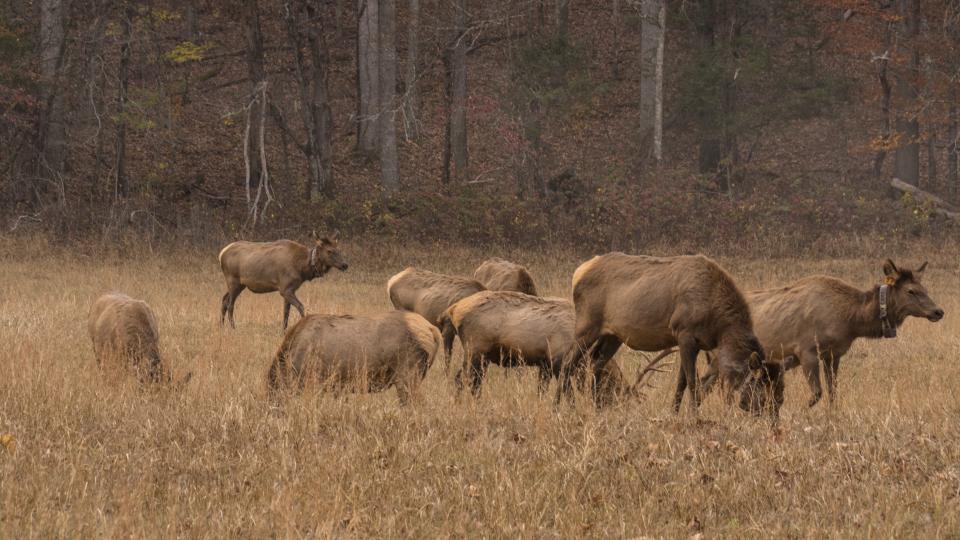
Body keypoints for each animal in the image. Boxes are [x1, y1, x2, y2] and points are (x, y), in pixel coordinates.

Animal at [218, 229, 348, 330]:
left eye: (339, 249)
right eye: (329, 251)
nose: (345, 265)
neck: (302, 268)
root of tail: (221, 254)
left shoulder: (289, 289)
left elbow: (286, 312)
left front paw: (283, 330)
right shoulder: (285, 288)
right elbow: (301, 307)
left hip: (240, 284)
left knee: (224, 300)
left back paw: (221, 326)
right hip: (233, 280)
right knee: (230, 304)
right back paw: (233, 328)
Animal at [556, 253, 772, 414]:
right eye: (755, 380)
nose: (760, 408)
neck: (719, 328)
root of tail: (578, 273)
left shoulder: (694, 343)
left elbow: (681, 381)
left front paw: (674, 412)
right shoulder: (685, 332)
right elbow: (692, 381)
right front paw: (694, 415)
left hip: (613, 335)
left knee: (596, 363)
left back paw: (596, 407)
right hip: (586, 325)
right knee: (568, 363)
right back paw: (560, 407)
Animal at [700, 258, 940, 410]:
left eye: (926, 289)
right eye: (911, 291)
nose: (939, 311)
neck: (851, 321)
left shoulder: (834, 355)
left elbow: (833, 393)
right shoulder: (806, 351)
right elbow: (816, 394)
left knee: (709, 385)